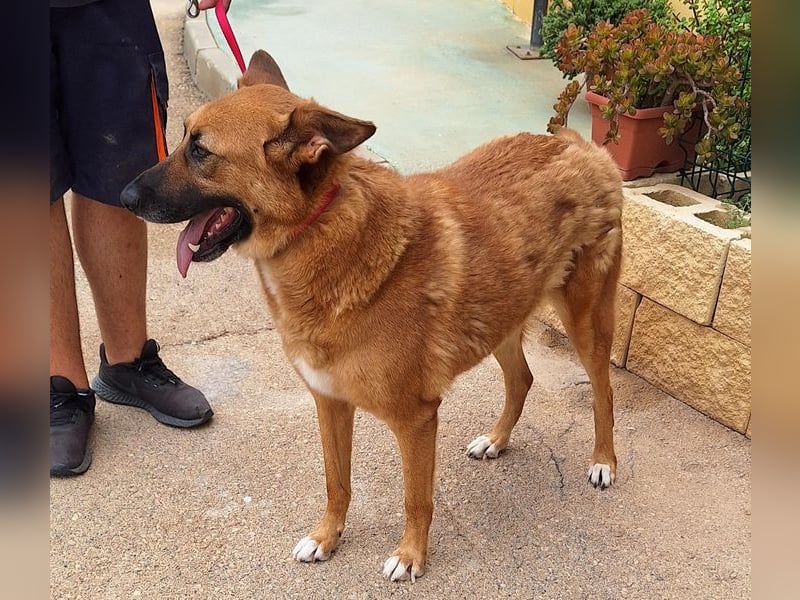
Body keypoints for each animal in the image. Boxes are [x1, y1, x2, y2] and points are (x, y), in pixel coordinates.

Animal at [122, 50, 624, 580]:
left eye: (200, 151)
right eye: (181, 135)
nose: (123, 198)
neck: (319, 232)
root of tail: (575, 144)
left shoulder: (416, 420)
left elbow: (416, 498)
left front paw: (410, 555)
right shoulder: (329, 403)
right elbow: (336, 482)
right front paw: (327, 538)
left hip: (585, 323)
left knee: (604, 393)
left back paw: (604, 461)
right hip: (501, 316)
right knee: (522, 378)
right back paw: (497, 439)